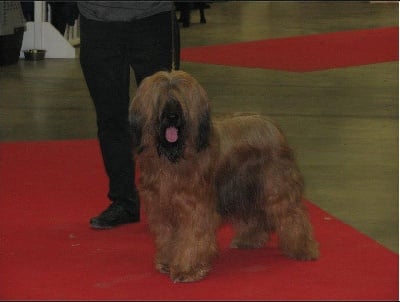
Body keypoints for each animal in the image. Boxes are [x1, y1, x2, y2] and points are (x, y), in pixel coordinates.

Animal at [130, 70, 320, 284]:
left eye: (180, 99)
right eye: (161, 98)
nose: (172, 117)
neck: (174, 158)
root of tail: (271, 124)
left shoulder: (195, 208)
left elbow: (191, 236)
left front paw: (187, 269)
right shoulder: (160, 207)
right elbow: (167, 236)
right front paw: (167, 261)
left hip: (275, 186)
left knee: (294, 215)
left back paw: (303, 248)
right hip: (245, 189)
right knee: (255, 214)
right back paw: (249, 239)